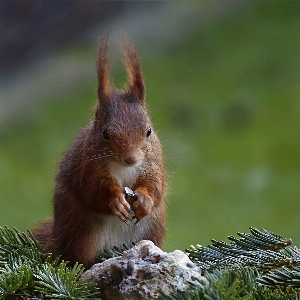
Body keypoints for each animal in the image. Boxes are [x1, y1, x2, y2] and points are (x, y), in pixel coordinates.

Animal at [33, 34, 169, 268]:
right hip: (81, 233)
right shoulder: (88, 166)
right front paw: (115, 202)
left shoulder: (153, 163)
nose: (131, 159)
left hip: (151, 229)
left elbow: (155, 186)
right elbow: (93, 190)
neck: (123, 168)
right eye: (105, 133)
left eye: (148, 131)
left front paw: (144, 201)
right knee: (75, 260)